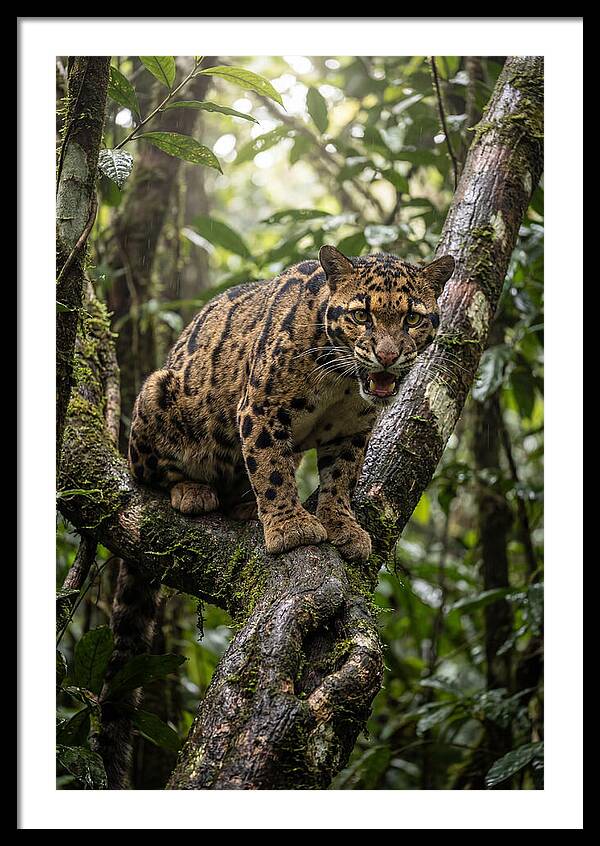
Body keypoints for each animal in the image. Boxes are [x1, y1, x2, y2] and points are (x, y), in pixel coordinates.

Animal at [128, 245, 455, 563]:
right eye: (361, 316)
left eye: (412, 319)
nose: (387, 356)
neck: (341, 381)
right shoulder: (261, 409)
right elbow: (271, 469)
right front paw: (290, 526)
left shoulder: (352, 429)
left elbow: (342, 477)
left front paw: (342, 524)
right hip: (157, 391)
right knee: (150, 474)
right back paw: (193, 490)